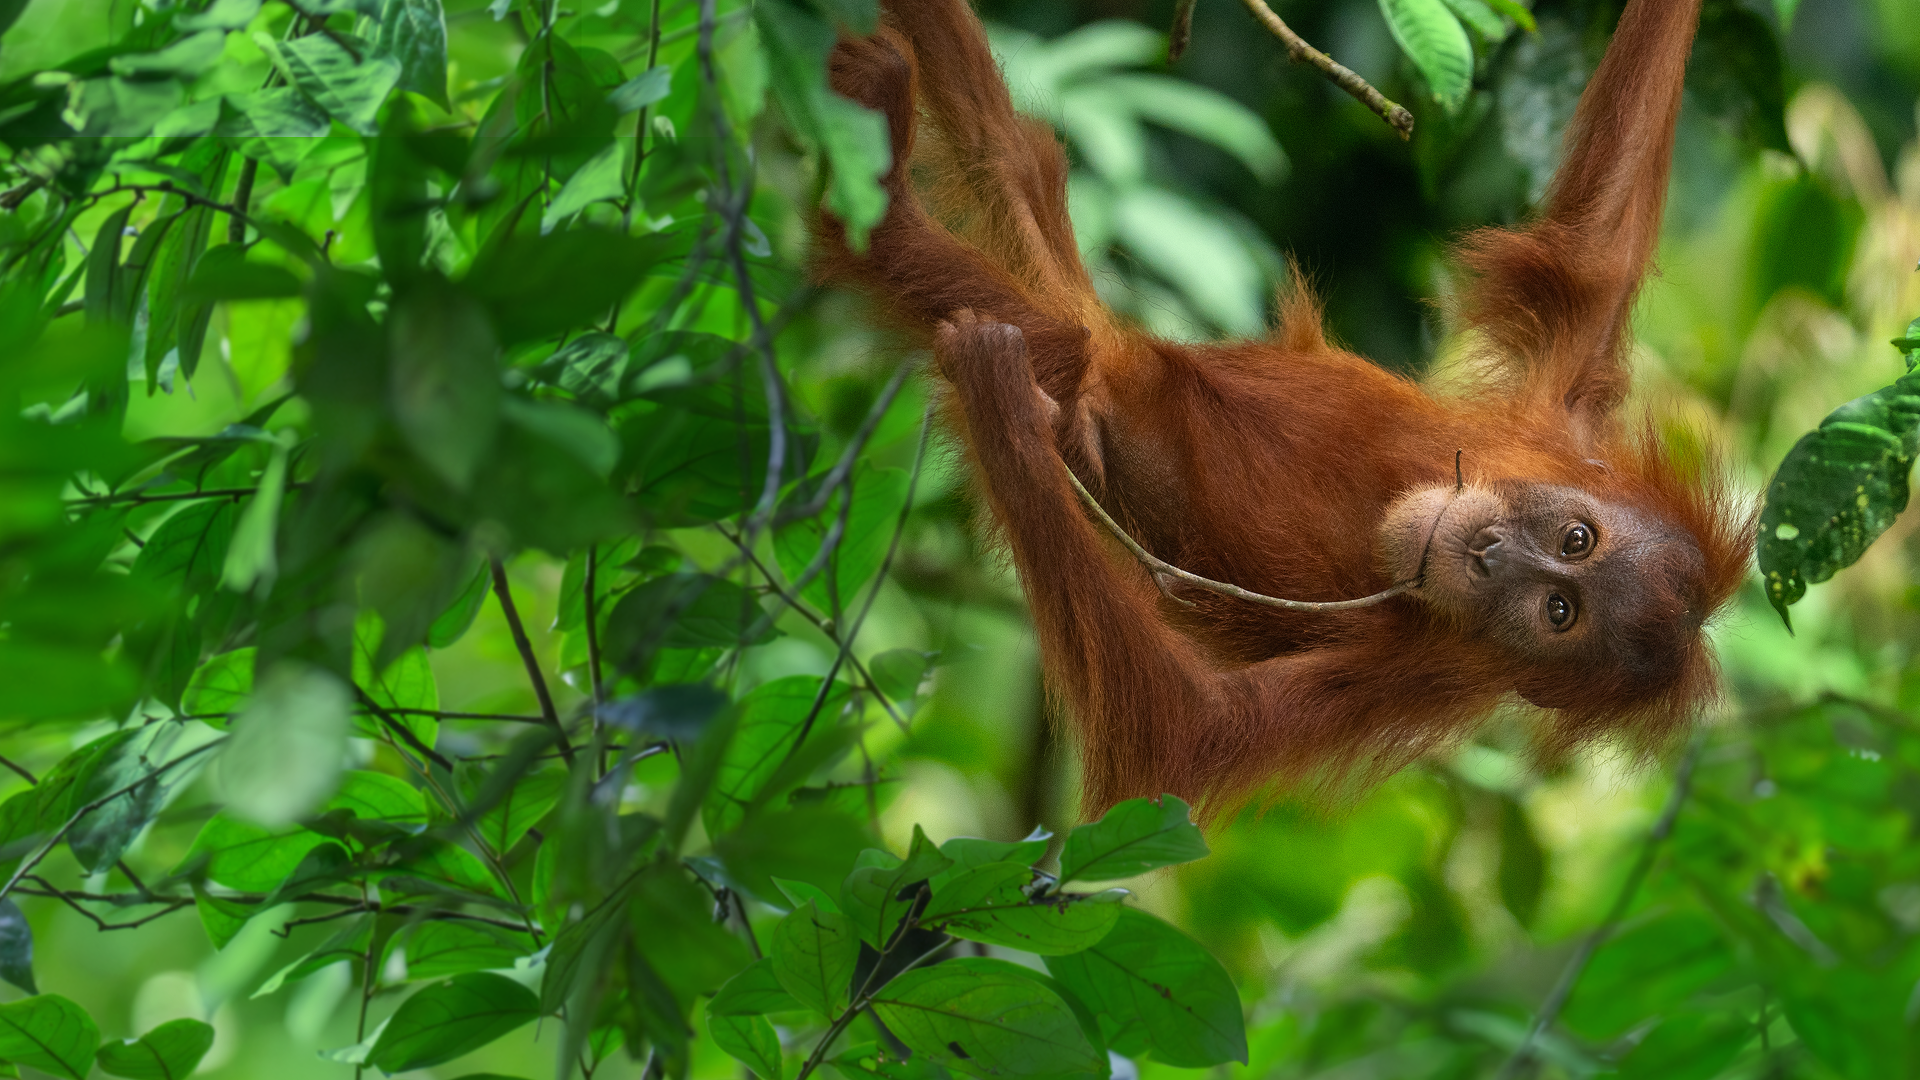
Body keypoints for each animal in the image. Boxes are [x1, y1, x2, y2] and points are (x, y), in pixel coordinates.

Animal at [815, 0, 1751, 814]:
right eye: (1575, 541)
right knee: (1014, 159)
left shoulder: (1423, 675)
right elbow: (1602, 246)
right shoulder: (1561, 420)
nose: (1491, 551)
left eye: (1560, 613)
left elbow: (1196, 733)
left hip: (1071, 353)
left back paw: (882, 215)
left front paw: (1002, 408)